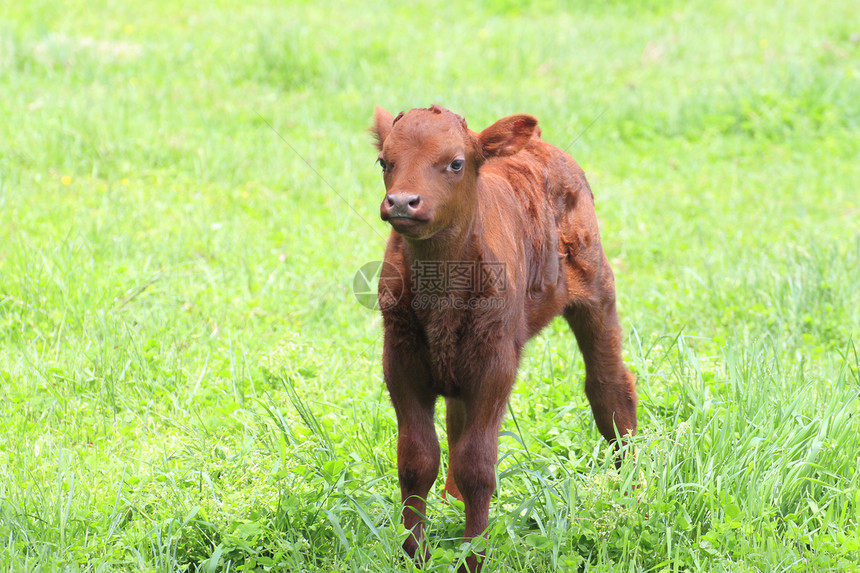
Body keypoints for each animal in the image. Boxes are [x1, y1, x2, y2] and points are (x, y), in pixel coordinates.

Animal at [372, 105, 640, 568]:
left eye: (456, 163)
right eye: (384, 162)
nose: (403, 202)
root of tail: (542, 146)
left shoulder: (495, 363)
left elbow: (478, 466)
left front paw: (473, 557)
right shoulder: (401, 359)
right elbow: (416, 458)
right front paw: (415, 554)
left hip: (597, 291)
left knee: (609, 388)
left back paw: (633, 494)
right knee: (456, 419)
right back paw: (451, 502)